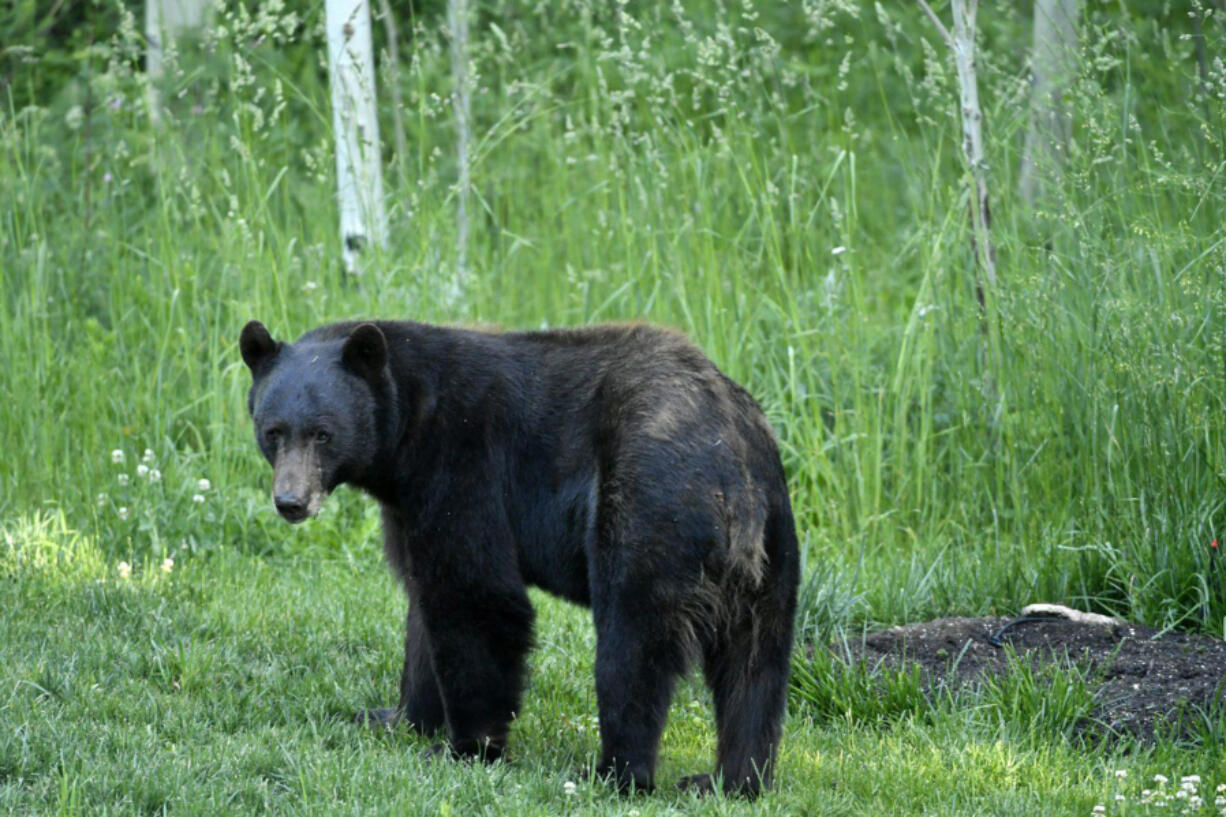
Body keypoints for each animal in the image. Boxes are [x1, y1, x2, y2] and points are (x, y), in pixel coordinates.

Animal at [240, 318, 804, 794]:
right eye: (273, 431)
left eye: (323, 433)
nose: (291, 501)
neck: (409, 429)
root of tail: (732, 474)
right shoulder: (407, 504)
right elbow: (422, 600)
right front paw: (396, 718)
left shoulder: (464, 465)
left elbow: (476, 597)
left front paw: (466, 747)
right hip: (772, 553)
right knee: (755, 666)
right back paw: (732, 780)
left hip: (648, 507)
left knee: (632, 646)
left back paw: (616, 772)